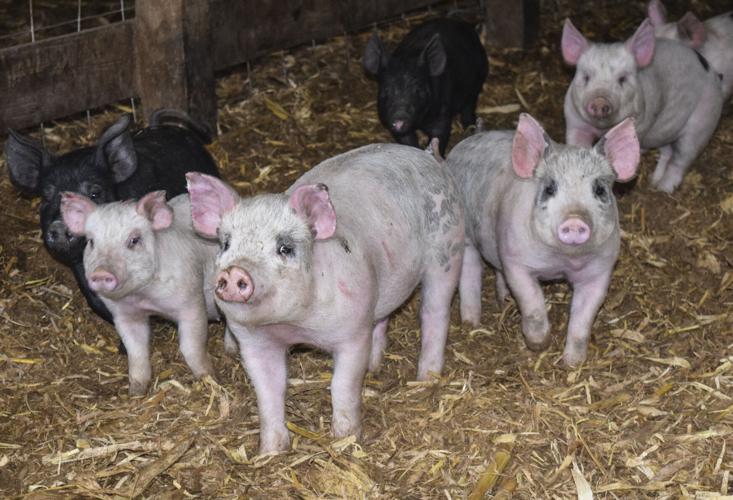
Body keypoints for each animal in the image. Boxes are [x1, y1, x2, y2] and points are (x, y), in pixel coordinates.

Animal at [60, 191, 220, 395]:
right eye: (91, 242)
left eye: (134, 240)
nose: (101, 273)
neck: (144, 298)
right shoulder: (124, 316)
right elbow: (136, 351)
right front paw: (136, 392)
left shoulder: (192, 303)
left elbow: (191, 347)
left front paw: (210, 379)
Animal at [186, 143, 465, 454]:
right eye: (226, 244)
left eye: (285, 248)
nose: (235, 271)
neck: (295, 325)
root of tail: (427, 154)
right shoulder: (253, 342)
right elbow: (269, 391)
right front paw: (270, 451)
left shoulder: (352, 332)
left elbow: (342, 384)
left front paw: (345, 438)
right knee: (383, 316)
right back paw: (375, 366)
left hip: (448, 249)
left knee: (434, 312)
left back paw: (425, 378)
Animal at [363, 18, 488, 156]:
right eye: (386, 90)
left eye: (418, 89)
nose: (399, 116)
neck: (419, 122)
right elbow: (407, 141)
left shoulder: (442, 114)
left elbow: (439, 136)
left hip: (479, 78)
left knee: (469, 105)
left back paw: (471, 129)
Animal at [446, 113, 640, 367]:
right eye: (549, 188)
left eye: (599, 189)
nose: (575, 220)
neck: (562, 261)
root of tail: (464, 144)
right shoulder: (516, 260)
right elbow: (533, 303)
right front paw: (539, 344)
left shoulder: (600, 270)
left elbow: (583, 319)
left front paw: (572, 362)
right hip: (466, 234)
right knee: (469, 272)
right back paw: (471, 322)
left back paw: (503, 300)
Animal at [562, 17, 723, 193]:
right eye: (586, 77)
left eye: (622, 79)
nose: (600, 100)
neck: (601, 129)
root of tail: (714, 74)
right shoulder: (574, 121)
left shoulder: (640, 123)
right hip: (666, 131)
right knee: (667, 152)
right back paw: (654, 181)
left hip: (703, 121)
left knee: (682, 159)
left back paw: (664, 188)